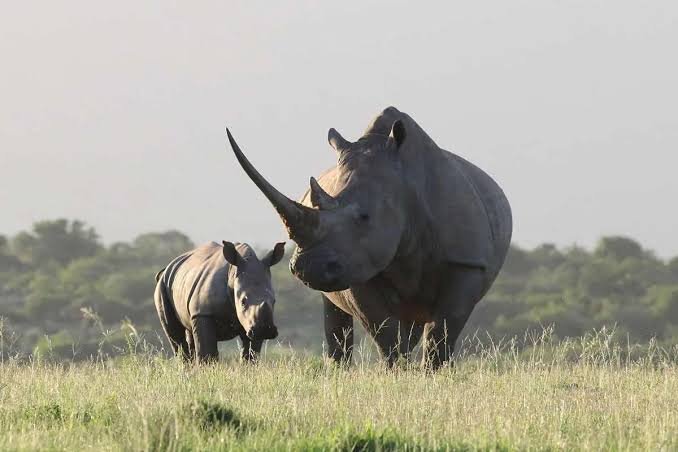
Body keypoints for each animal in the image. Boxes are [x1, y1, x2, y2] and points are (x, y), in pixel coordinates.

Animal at [154, 241, 285, 363]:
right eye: (243, 301)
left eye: (274, 301)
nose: (265, 329)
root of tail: (167, 268)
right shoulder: (202, 312)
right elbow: (207, 352)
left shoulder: (251, 324)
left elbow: (251, 353)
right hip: (163, 285)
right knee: (177, 337)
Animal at [227, 107, 512, 368]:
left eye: (364, 217)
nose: (307, 268)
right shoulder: (357, 265)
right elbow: (384, 331)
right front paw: (398, 373)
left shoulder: (466, 262)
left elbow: (443, 330)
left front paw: (434, 374)